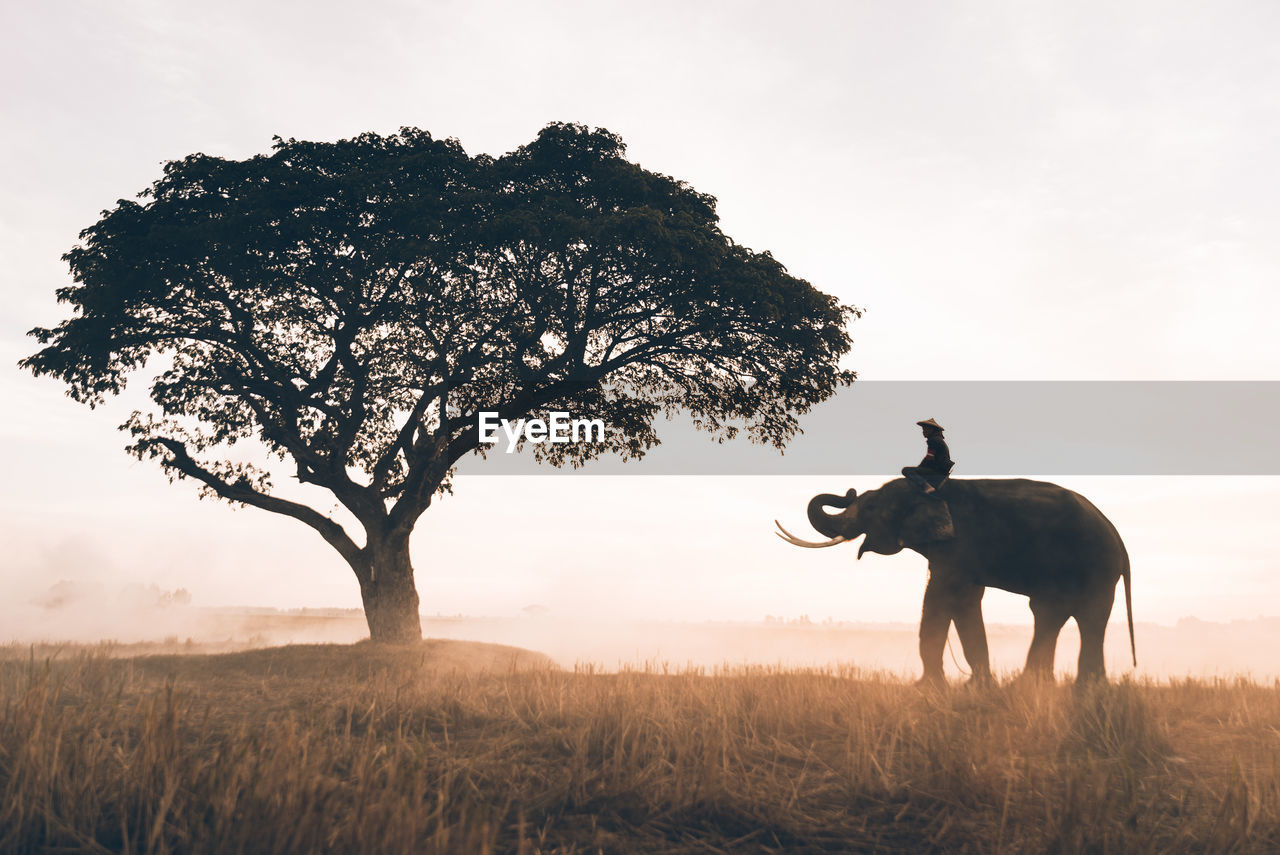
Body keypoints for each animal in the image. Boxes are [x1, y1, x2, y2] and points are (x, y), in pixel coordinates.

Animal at [773, 478, 1136, 686]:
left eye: (872, 506)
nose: (847, 491)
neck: (929, 492)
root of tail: (1118, 537)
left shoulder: (960, 545)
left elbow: (940, 597)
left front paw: (927, 688)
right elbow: (966, 600)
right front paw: (977, 688)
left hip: (1095, 565)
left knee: (1084, 616)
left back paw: (1081, 690)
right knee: (1053, 613)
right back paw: (1043, 687)